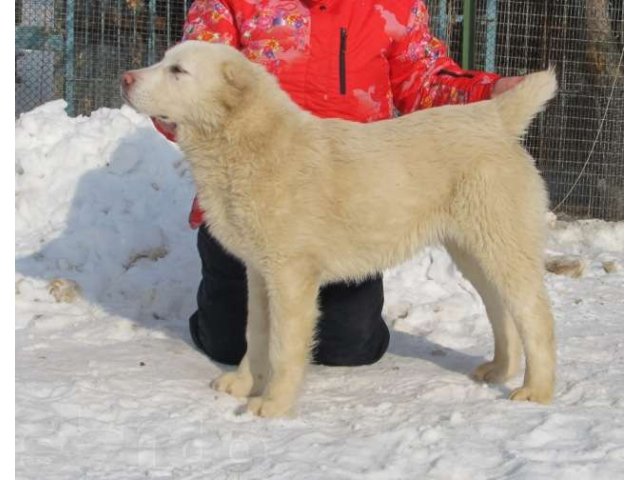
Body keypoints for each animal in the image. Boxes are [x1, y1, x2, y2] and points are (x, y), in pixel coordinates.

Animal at [122, 40, 556, 416]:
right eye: (165, 61)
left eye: (178, 71)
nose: (125, 77)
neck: (248, 143)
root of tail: (495, 117)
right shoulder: (260, 273)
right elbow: (255, 332)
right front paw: (244, 383)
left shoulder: (290, 276)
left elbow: (283, 345)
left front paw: (274, 405)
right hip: (472, 251)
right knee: (500, 309)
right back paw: (499, 370)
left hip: (503, 245)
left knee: (535, 316)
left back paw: (537, 389)